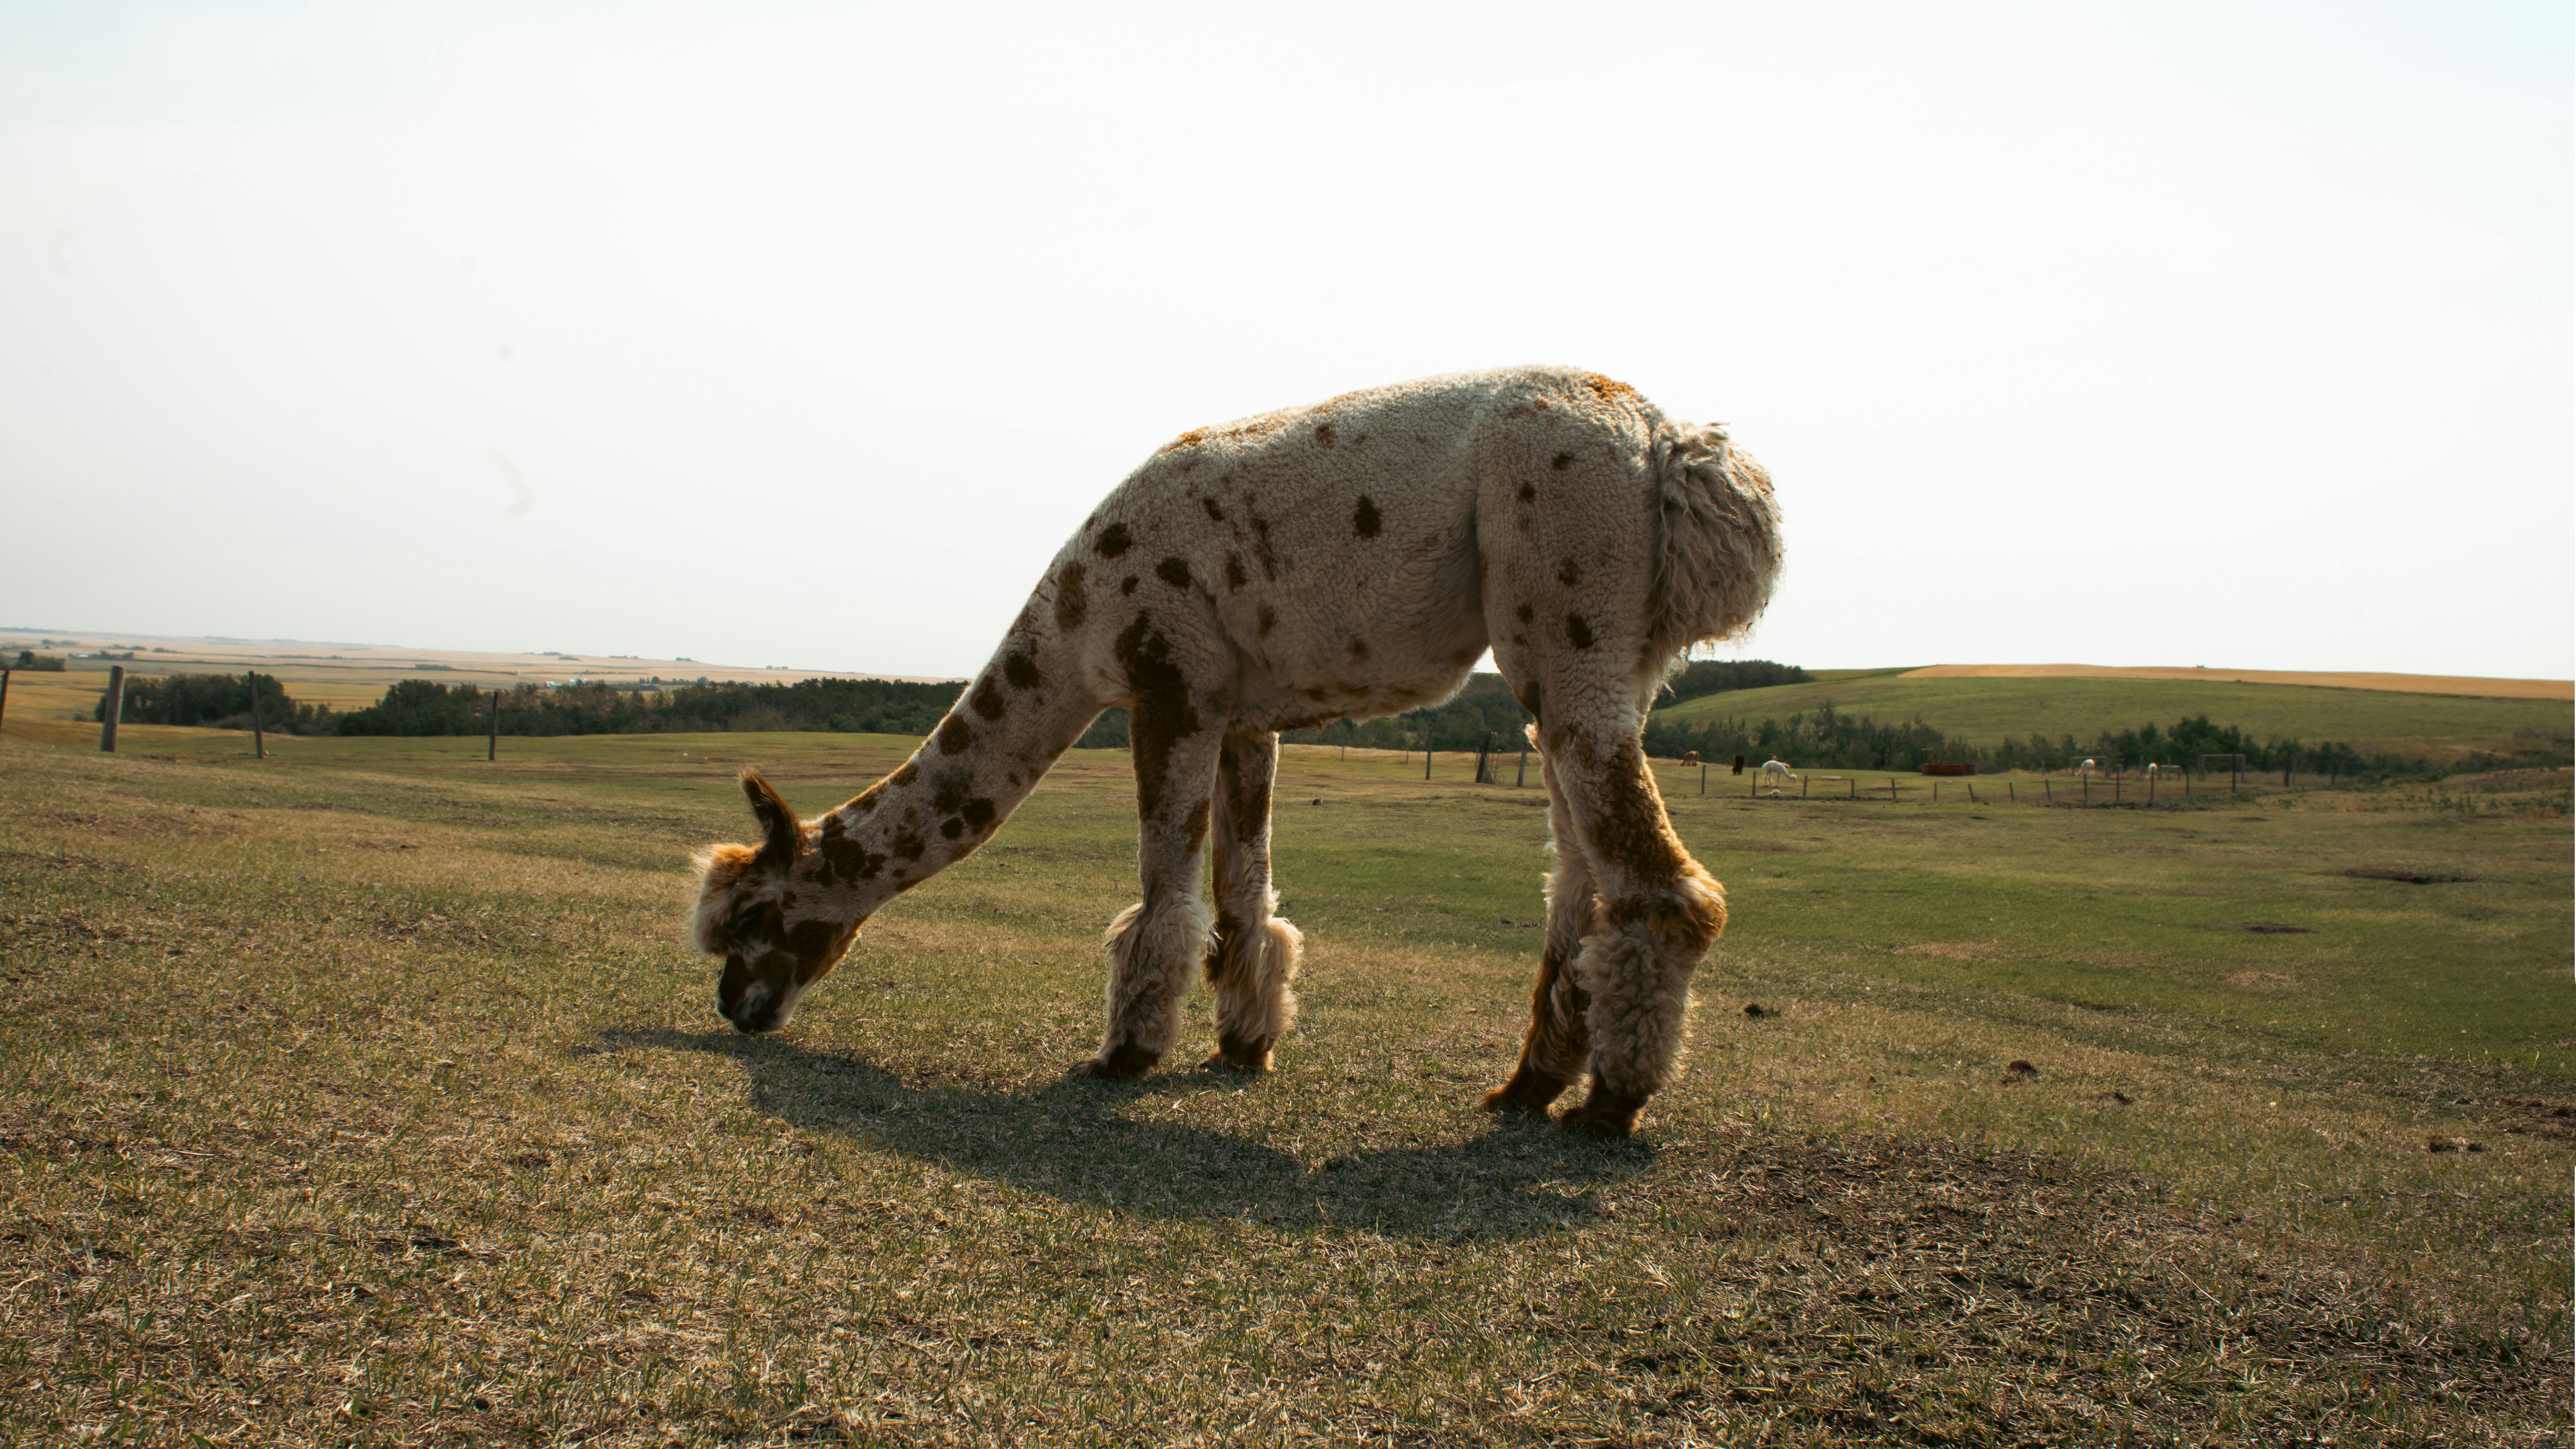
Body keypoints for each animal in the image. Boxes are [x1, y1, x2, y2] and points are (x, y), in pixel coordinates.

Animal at [689, 366, 1783, 1137]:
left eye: (749, 917)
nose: (735, 1005)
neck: (1073, 623)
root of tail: (1674, 444)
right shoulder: (1246, 712)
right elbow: (1245, 894)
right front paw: (1245, 1044)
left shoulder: (1167, 680)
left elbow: (1167, 895)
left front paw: (1124, 1054)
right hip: (1601, 656)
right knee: (1578, 880)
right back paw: (1527, 1086)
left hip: (1567, 603)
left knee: (1663, 885)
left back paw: (1610, 1103)